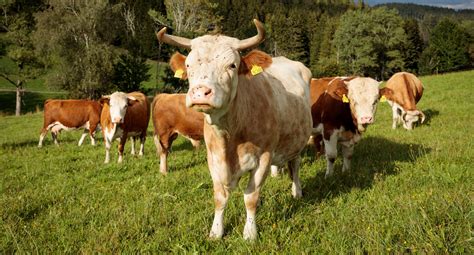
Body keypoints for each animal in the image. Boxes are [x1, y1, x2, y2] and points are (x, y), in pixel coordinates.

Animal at [156, 18, 312, 240]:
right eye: (188, 65)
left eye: (232, 65)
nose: (200, 92)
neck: (229, 135)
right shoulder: (213, 159)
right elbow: (220, 197)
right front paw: (216, 231)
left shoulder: (263, 157)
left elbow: (251, 197)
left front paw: (250, 232)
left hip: (297, 141)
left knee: (295, 166)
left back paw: (296, 192)